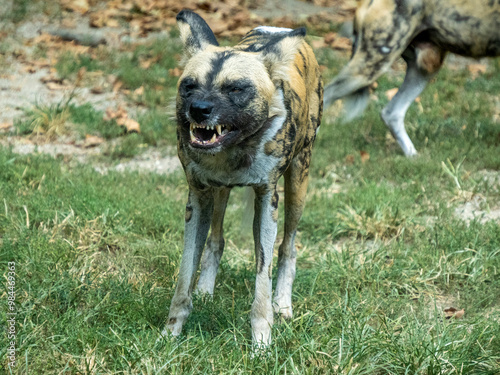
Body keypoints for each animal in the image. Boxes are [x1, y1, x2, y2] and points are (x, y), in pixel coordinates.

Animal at [162, 10, 322, 348]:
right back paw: (205, 291)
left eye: (235, 89)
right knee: (216, 240)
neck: (232, 152)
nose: (199, 109)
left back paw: (283, 304)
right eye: (189, 86)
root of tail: (279, 29)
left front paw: (262, 339)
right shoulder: (198, 198)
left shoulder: (267, 200)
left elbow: (263, 276)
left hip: (298, 182)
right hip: (219, 194)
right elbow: (185, 271)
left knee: (288, 248)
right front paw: (171, 332)